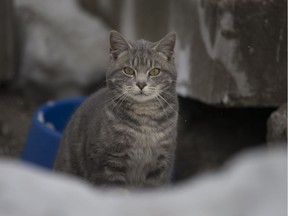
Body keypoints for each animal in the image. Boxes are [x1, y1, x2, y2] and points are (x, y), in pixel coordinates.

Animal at [53, 30, 178, 187]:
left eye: (155, 71)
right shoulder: (108, 163)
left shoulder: (160, 167)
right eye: (128, 70)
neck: (144, 119)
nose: (141, 84)